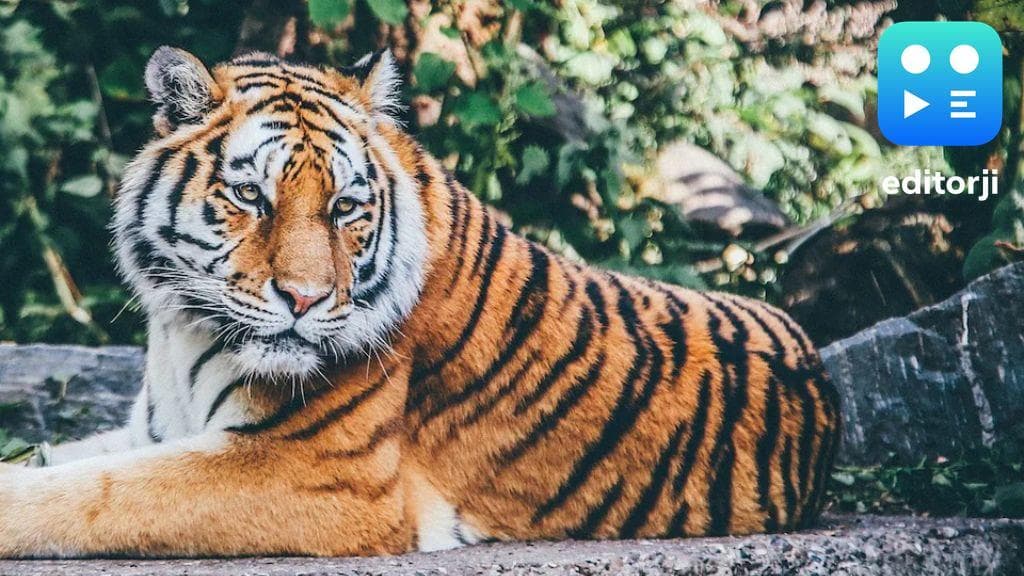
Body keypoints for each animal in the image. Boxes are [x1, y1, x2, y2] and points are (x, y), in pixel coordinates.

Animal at [0, 46, 840, 558]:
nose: (304, 299)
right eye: (250, 197)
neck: (184, 329)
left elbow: (95, 495)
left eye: (344, 207)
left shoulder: (311, 472)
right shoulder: (155, 431)